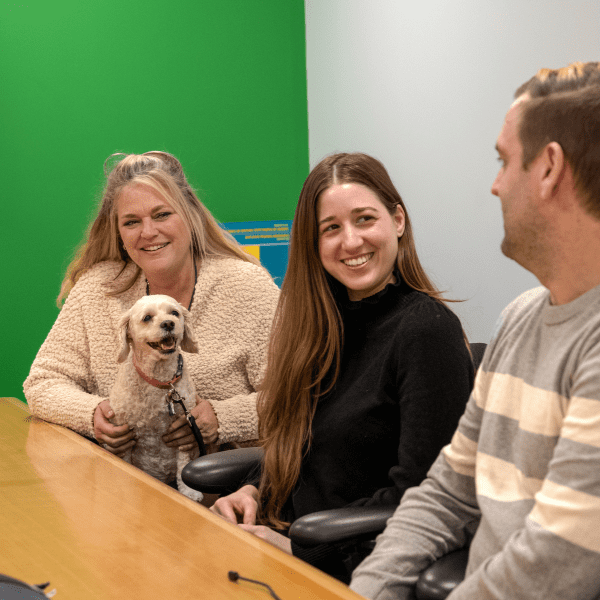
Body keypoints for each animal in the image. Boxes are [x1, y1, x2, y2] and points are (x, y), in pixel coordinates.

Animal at [108, 296, 202, 502]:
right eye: (147, 317)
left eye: (174, 313)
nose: (168, 323)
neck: (161, 381)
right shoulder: (124, 430)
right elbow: (125, 459)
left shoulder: (184, 429)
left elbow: (184, 464)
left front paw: (188, 491)